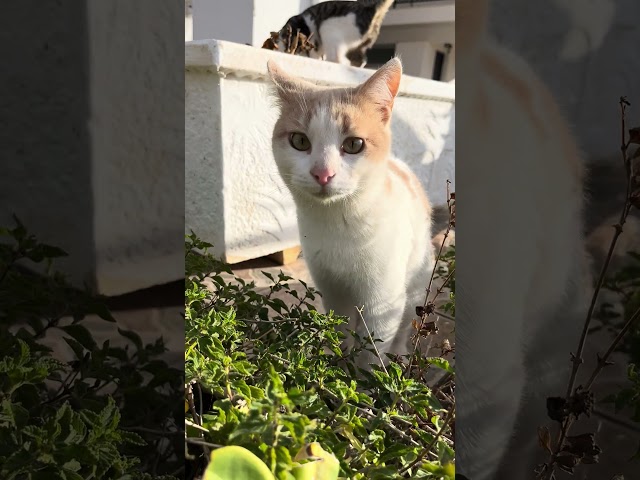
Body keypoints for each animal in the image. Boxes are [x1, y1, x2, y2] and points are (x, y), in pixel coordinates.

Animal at [262, 0, 392, 68]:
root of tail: (369, 8)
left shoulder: (309, 42)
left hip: (328, 28)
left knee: (337, 58)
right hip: (360, 45)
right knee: (361, 59)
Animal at [264, 58, 436, 370]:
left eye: (354, 144)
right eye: (299, 141)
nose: (322, 173)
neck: (339, 224)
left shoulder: (383, 302)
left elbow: (372, 352)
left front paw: (367, 379)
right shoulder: (333, 293)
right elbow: (339, 332)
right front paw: (336, 365)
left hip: (415, 288)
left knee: (405, 327)